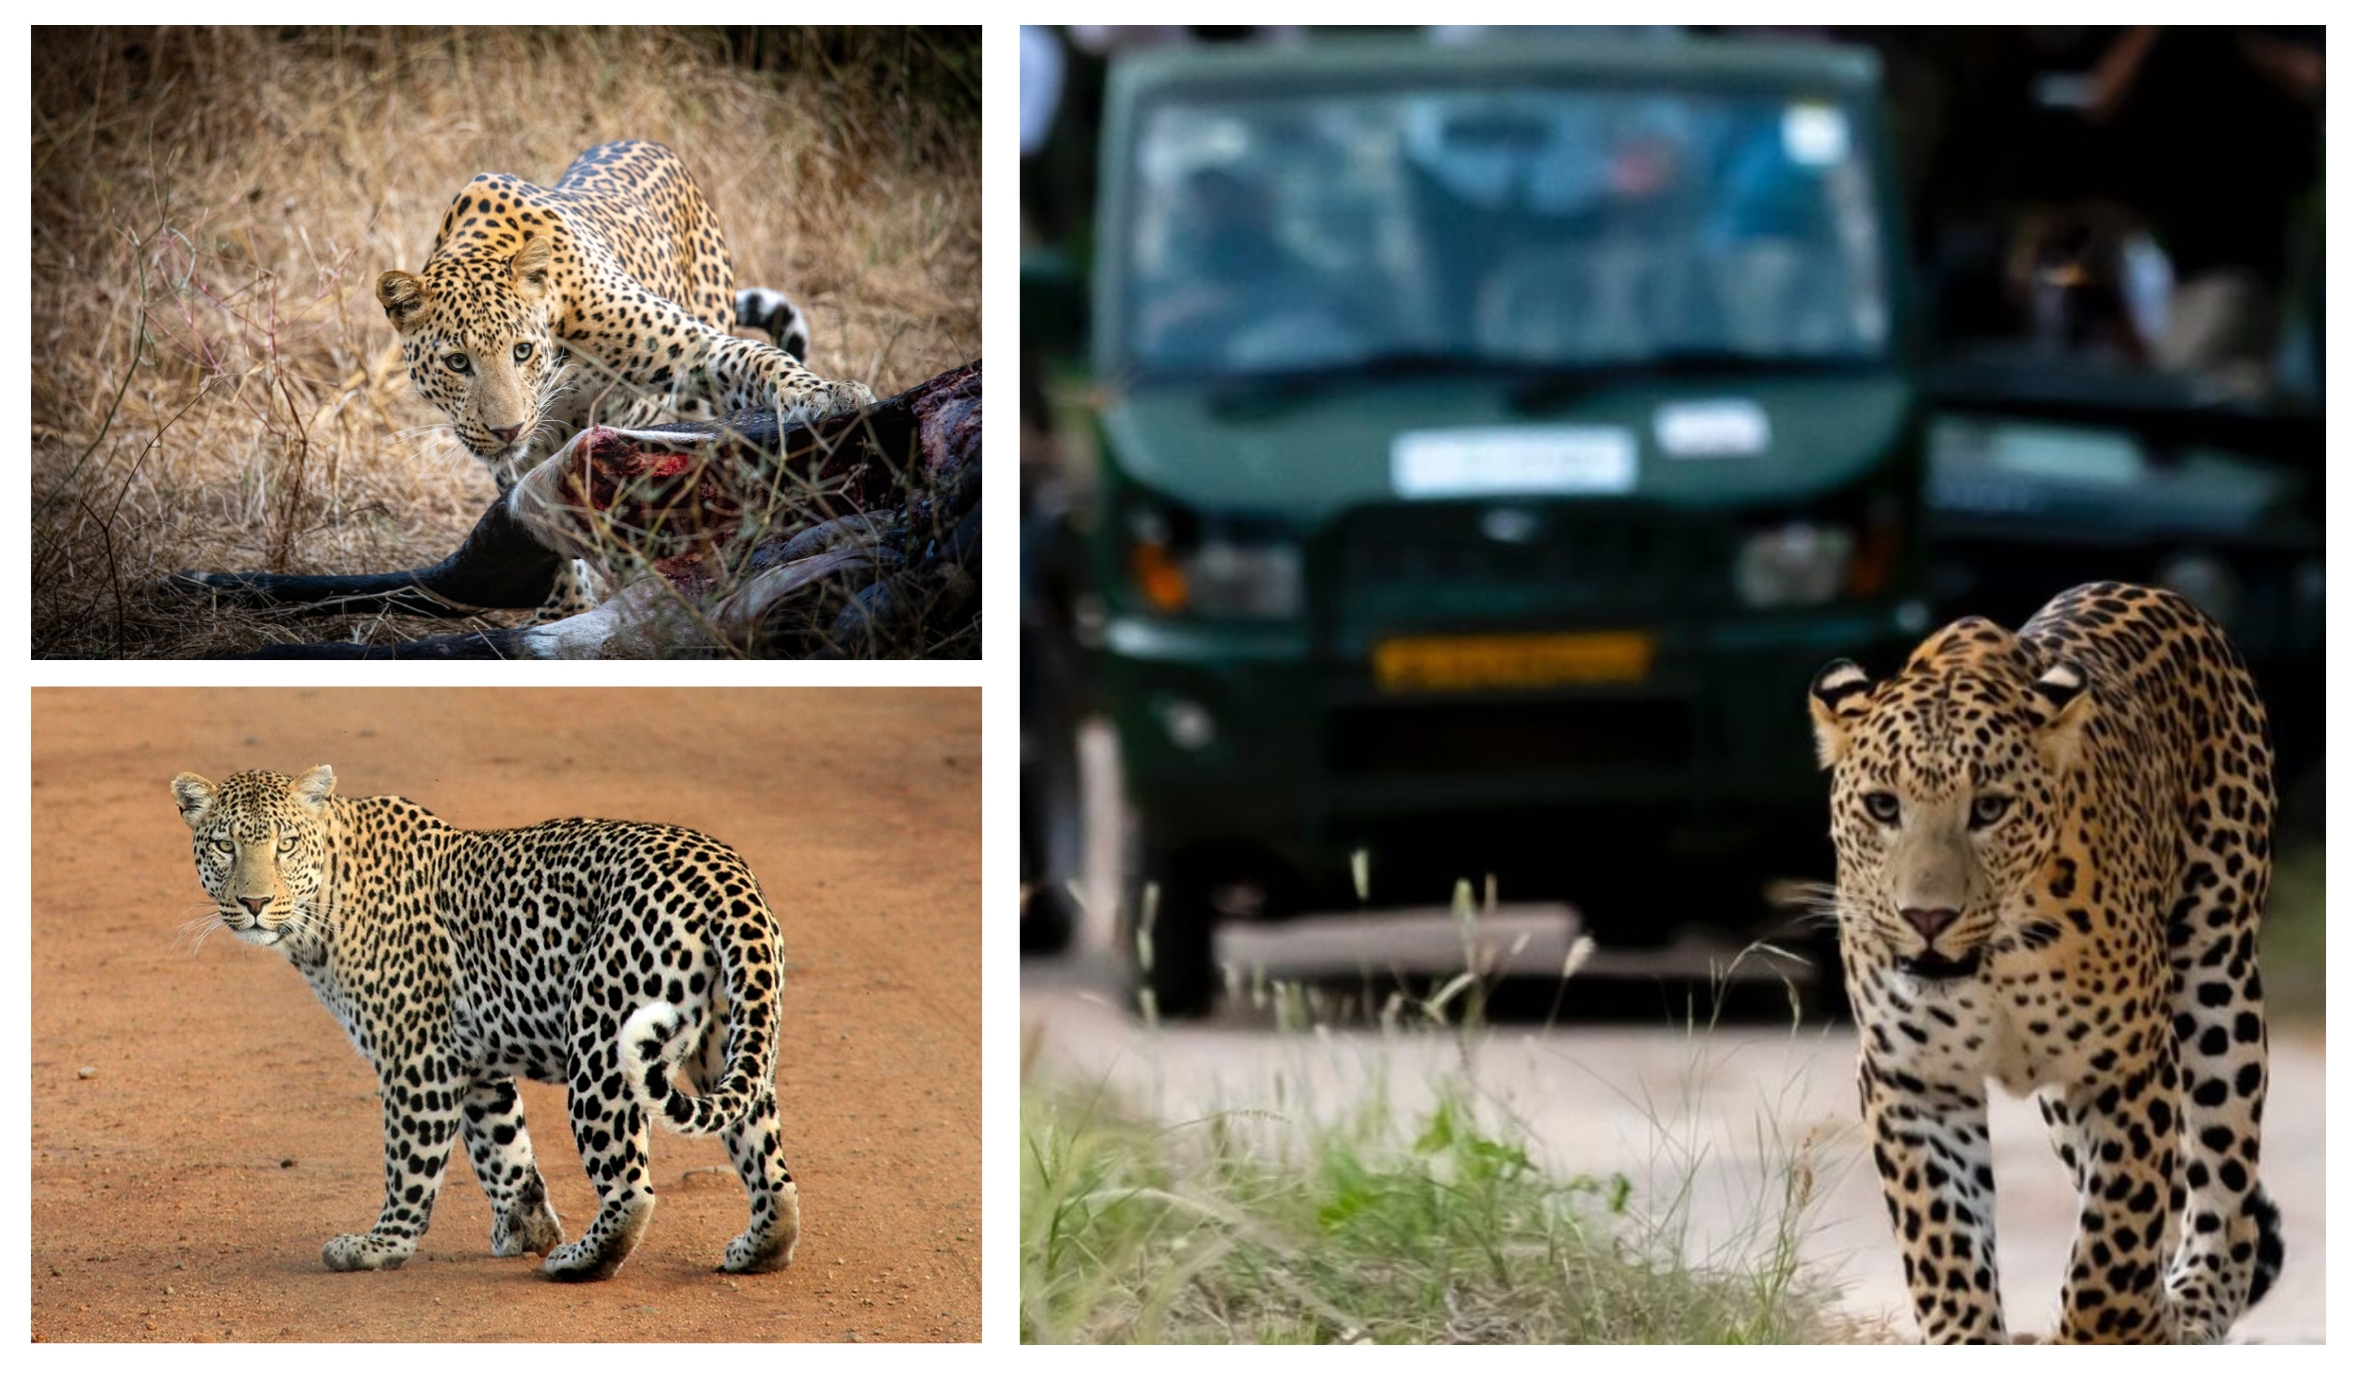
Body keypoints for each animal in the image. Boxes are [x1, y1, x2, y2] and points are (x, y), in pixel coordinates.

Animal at [171, 762, 800, 1280]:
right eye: (225, 845)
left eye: (286, 845)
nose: (254, 903)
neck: (324, 907)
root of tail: (726, 877)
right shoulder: (473, 1061)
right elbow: (505, 1151)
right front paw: (526, 1229)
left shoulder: (418, 1057)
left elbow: (410, 1163)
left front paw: (381, 1246)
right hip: (729, 1042)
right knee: (771, 1170)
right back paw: (757, 1250)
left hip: (601, 1044)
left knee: (631, 1189)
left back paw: (577, 1261)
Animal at [381, 135, 880, 616]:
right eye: (457, 363)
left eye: (522, 351)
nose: (507, 430)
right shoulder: (519, 456)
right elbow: (537, 515)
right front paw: (567, 606)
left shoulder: (693, 349)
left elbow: (758, 357)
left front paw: (828, 392)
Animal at [1798, 583, 2278, 1346]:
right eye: (1882, 805)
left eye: (1990, 808)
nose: (1926, 918)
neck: (1994, 966)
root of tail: (2146, 589)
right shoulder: (1913, 1079)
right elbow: (1946, 1244)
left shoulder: (2126, 1067)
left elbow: (2113, 1253)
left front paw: (2126, 1320)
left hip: (2217, 976)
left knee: (2220, 1181)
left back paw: (2194, 1302)